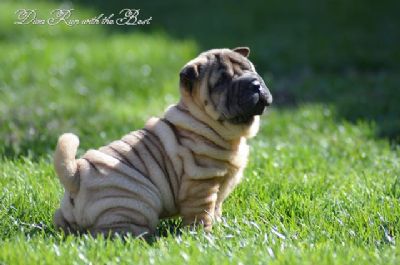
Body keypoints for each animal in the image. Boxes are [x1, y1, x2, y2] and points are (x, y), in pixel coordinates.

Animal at [53, 47, 272, 235]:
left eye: (250, 69)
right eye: (222, 82)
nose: (255, 84)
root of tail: (77, 174)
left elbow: (216, 209)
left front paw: (220, 227)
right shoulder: (202, 183)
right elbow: (202, 214)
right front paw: (205, 236)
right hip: (134, 203)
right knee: (109, 232)